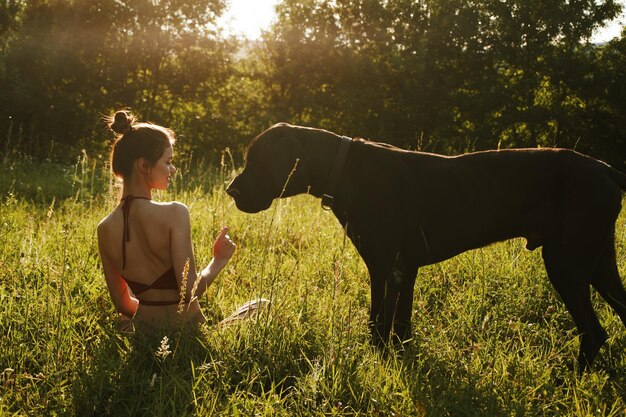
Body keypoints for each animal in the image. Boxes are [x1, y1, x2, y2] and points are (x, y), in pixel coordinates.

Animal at [225, 122, 624, 372]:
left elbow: (378, 325)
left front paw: (376, 364)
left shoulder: (385, 268)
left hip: (566, 264)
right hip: (599, 266)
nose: (231, 190)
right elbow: (401, 326)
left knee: (593, 331)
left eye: (256, 161)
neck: (345, 170)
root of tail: (607, 169)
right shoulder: (405, 271)